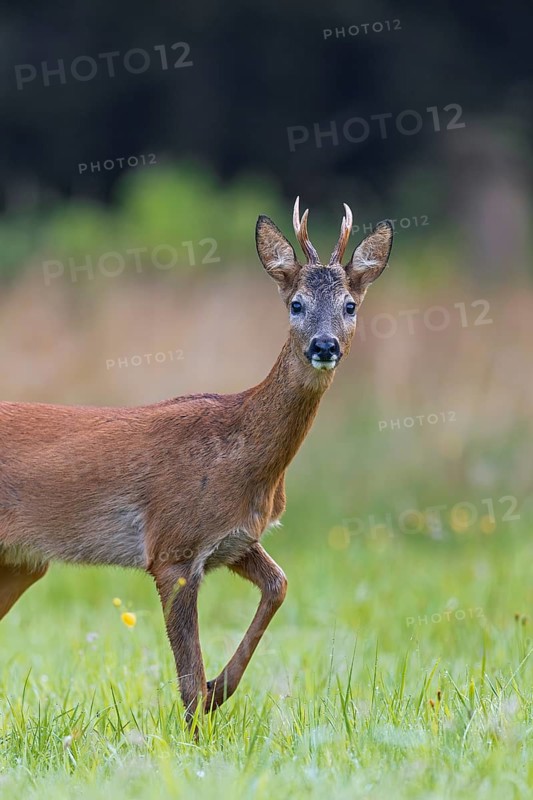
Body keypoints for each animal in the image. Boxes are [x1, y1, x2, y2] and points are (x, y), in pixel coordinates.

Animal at [0, 199, 393, 722]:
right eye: (296, 304)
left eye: (350, 305)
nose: (324, 346)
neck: (245, 461)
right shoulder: (174, 547)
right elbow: (187, 672)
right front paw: (199, 719)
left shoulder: (235, 540)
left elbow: (280, 585)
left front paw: (219, 689)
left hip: (22, 563)